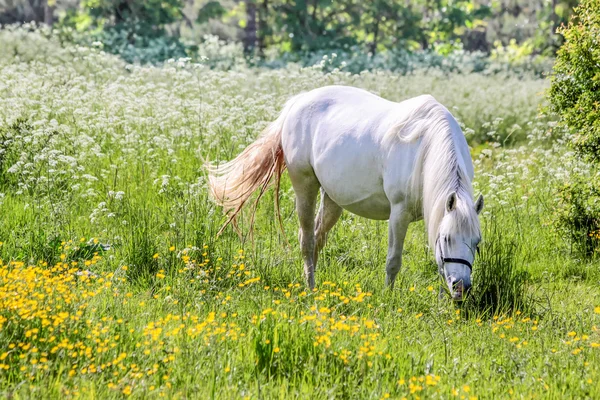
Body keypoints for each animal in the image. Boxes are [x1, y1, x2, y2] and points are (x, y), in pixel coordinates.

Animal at [206, 86, 482, 302]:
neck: (424, 149)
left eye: (477, 242)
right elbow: (393, 260)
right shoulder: (399, 213)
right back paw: (310, 289)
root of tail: (299, 101)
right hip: (305, 187)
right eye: (446, 238)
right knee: (307, 240)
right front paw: (388, 299)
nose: (461, 288)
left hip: (332, 200)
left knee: (317, 238)